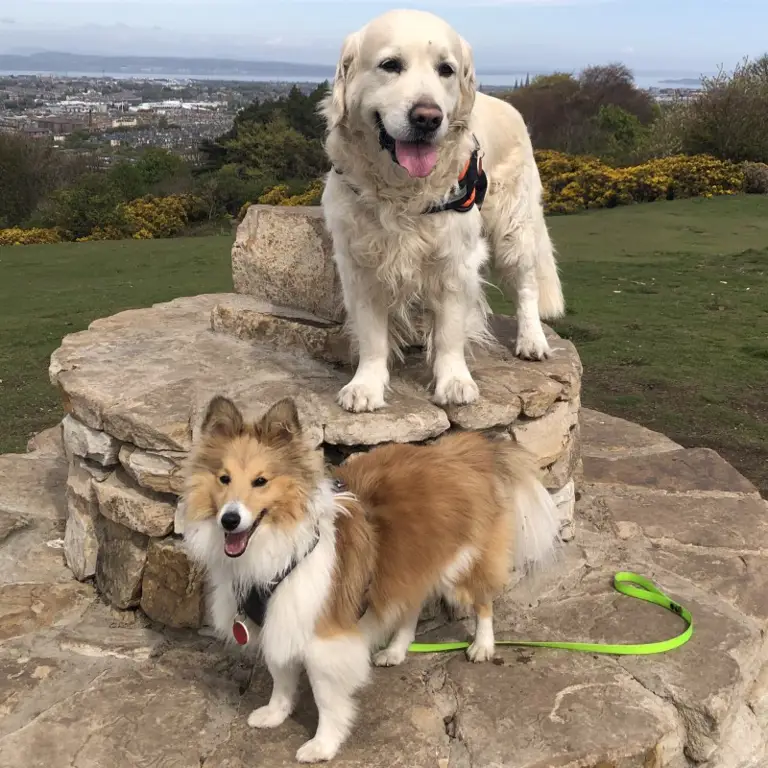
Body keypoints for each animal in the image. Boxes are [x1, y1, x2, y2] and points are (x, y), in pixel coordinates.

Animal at [318, 7, 564, 414]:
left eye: (446, 69)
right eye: (390, 65)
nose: (427, 117)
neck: (402, 192)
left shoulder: (455, 258)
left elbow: (450, 330)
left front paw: (454, 381)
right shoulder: (360, 262)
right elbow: (372, 334)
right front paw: (366, 385)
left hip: (514, 227)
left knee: (526, 285)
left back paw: (532, 340)